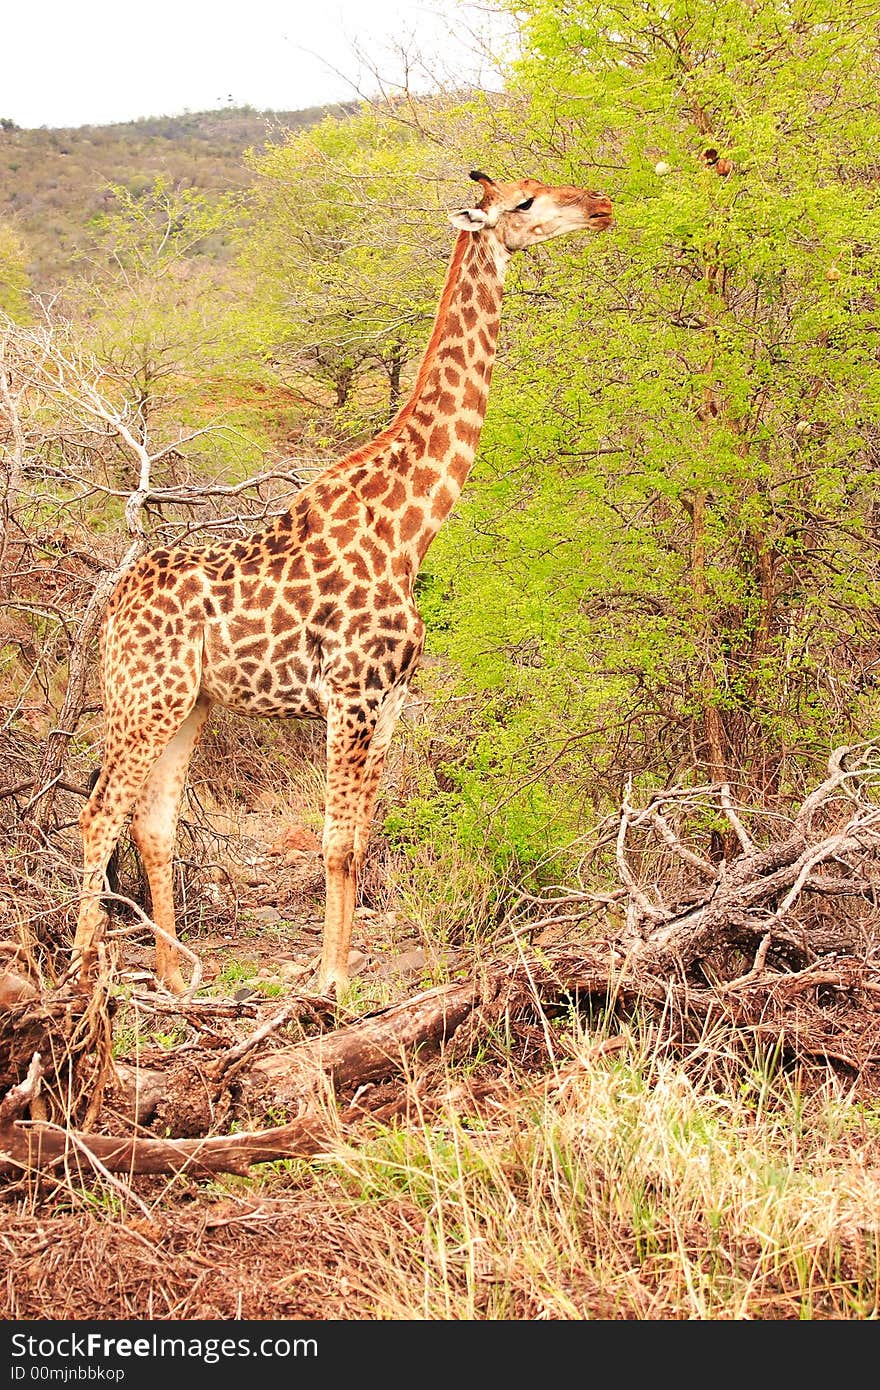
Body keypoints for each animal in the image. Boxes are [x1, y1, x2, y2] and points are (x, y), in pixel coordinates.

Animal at [73, 173, 611, 995]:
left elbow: (356, 843)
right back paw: (79, 979)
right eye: (523, 203)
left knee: (152, 823)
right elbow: (331, 843)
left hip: (188, 704)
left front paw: (343, 976)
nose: (600, 206)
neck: (410, 528)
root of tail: (113, 609)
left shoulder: (387, 705)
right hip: (144, 697)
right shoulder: (349, 696)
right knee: (99, 814)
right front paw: (329, 983)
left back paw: (173, 976)